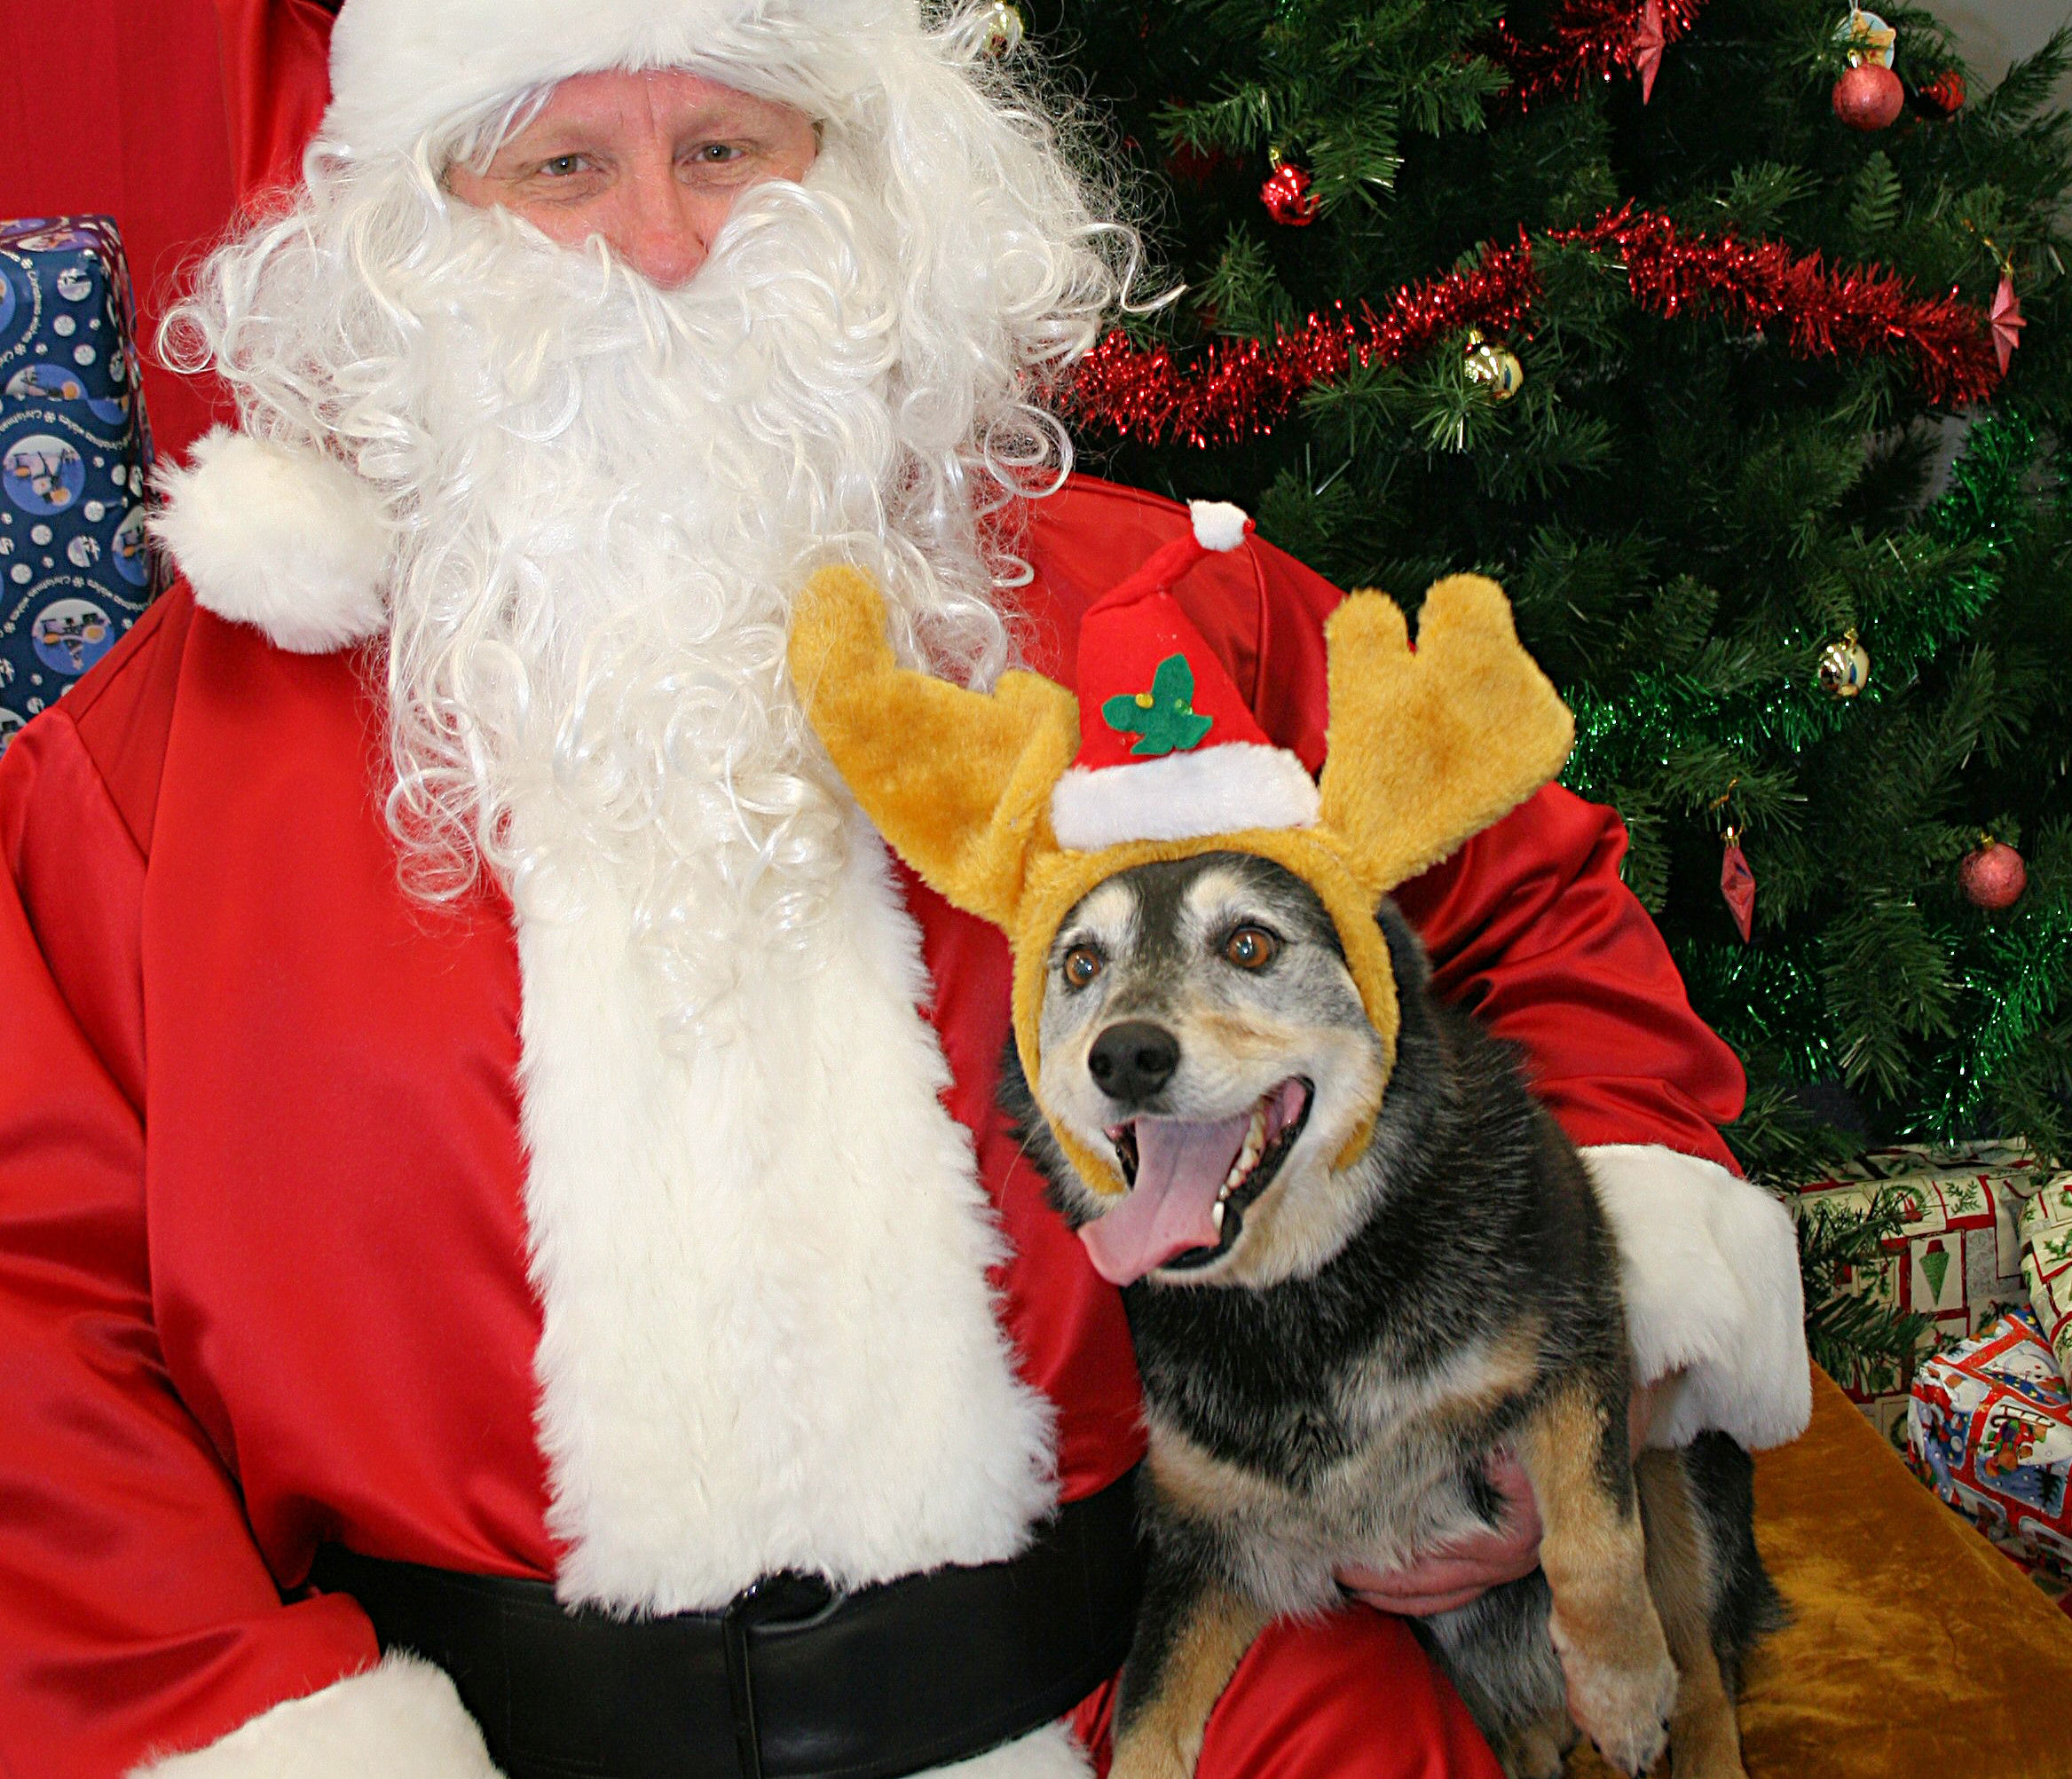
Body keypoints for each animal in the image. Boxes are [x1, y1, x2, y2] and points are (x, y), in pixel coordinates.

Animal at [1003, 853, 1782, 1779]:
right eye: (1082, 964)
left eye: (1249, 943)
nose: (1123, 1055)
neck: (1304, 1301)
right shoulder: (1208, 1544)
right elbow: (1148, 1709)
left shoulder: (1576, 1343)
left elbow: (1592, 1542)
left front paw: (1621, 1687)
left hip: (1687, 1462)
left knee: (1703, 1658)